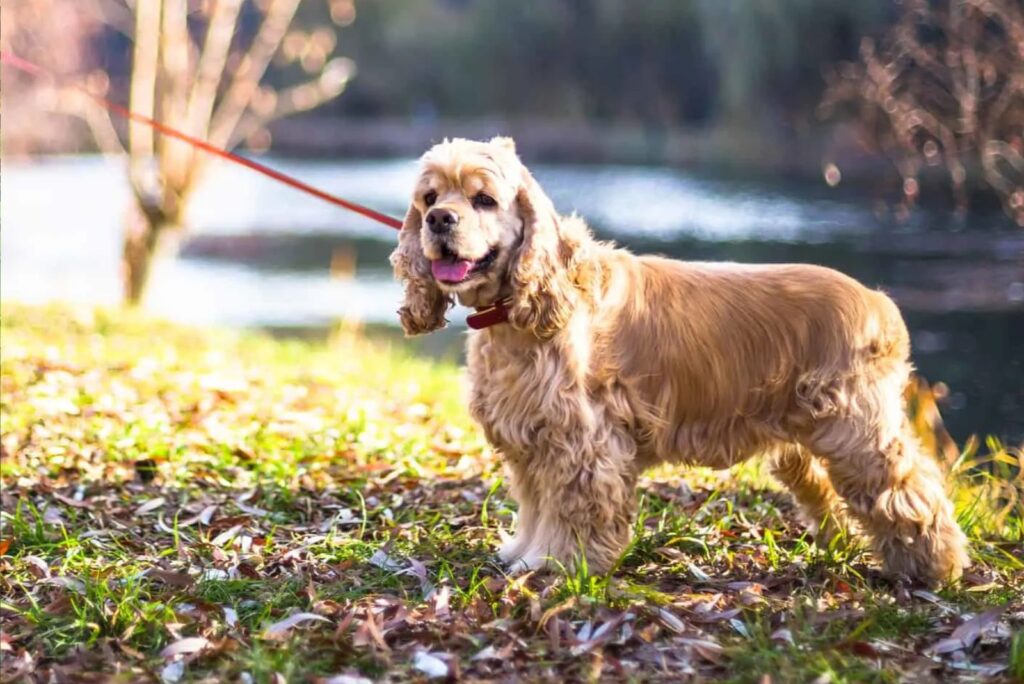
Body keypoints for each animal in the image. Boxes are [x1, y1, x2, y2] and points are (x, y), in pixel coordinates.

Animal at [389, 136, 966, 585]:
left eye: (484, 199)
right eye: (430, 196)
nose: (439, 219)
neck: (520, 312)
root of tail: (879, 304)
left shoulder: (582, 442)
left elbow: (574, 512)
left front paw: (560, 563)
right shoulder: (530, 439)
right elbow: (535, 505)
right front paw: (524, 553)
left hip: (857, 432)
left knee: (910, 493)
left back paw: (937, 568)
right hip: (806, 444)